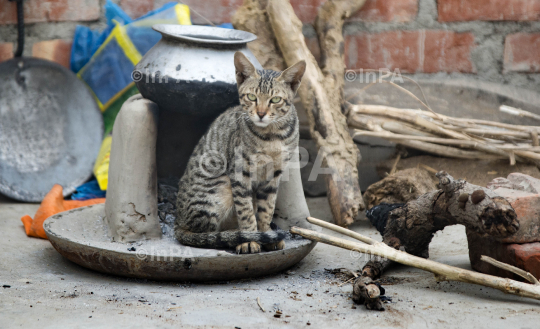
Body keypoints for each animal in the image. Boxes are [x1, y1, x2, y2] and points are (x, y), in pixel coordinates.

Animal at [175, 51, 306, 252]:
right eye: (251, 97)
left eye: (275, 100)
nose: (261, 113)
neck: (272, 136)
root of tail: (178, 222)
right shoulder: (240, 172)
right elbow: (246, 211)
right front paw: (250, 239)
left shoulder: (273, 175)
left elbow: (267, 209)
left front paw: (266, 234)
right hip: (220, 187)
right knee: (207, 233)